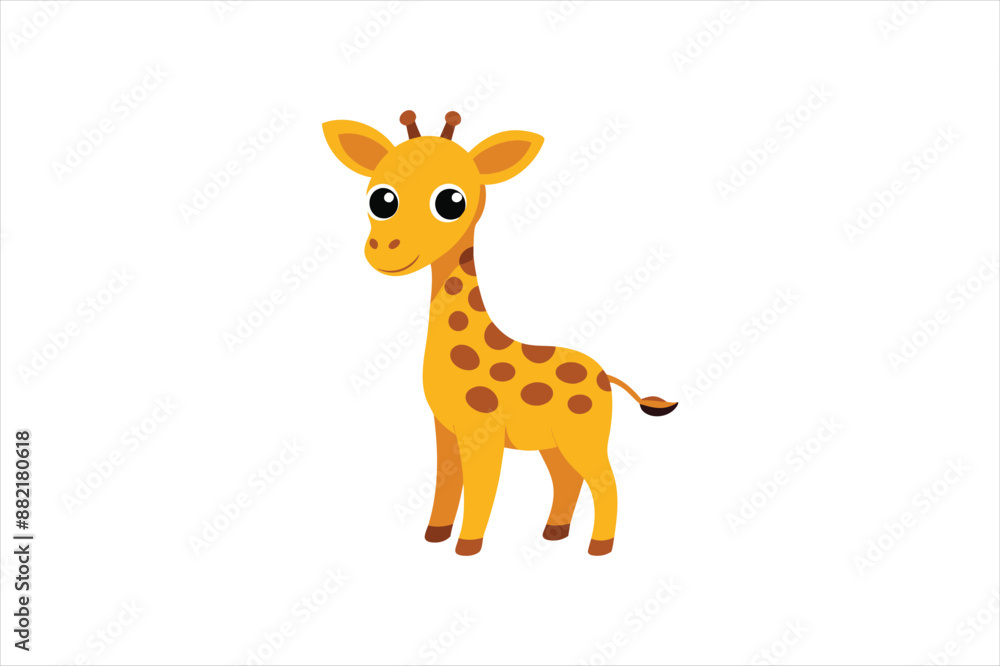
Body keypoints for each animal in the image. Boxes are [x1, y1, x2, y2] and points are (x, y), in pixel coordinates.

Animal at [322, 110, 677, 556]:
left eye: (451, 201)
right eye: (381, 198)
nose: (386, 248)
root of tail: (605, 376)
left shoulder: (482, 431)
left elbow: (482, 486)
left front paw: (467, 545)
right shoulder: (445, 428)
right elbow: (446, 480)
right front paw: (435, 535)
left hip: (584, 434)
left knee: (604, 479)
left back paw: (600, 546)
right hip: (553, 441)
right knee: (567, 477)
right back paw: (554, 532)